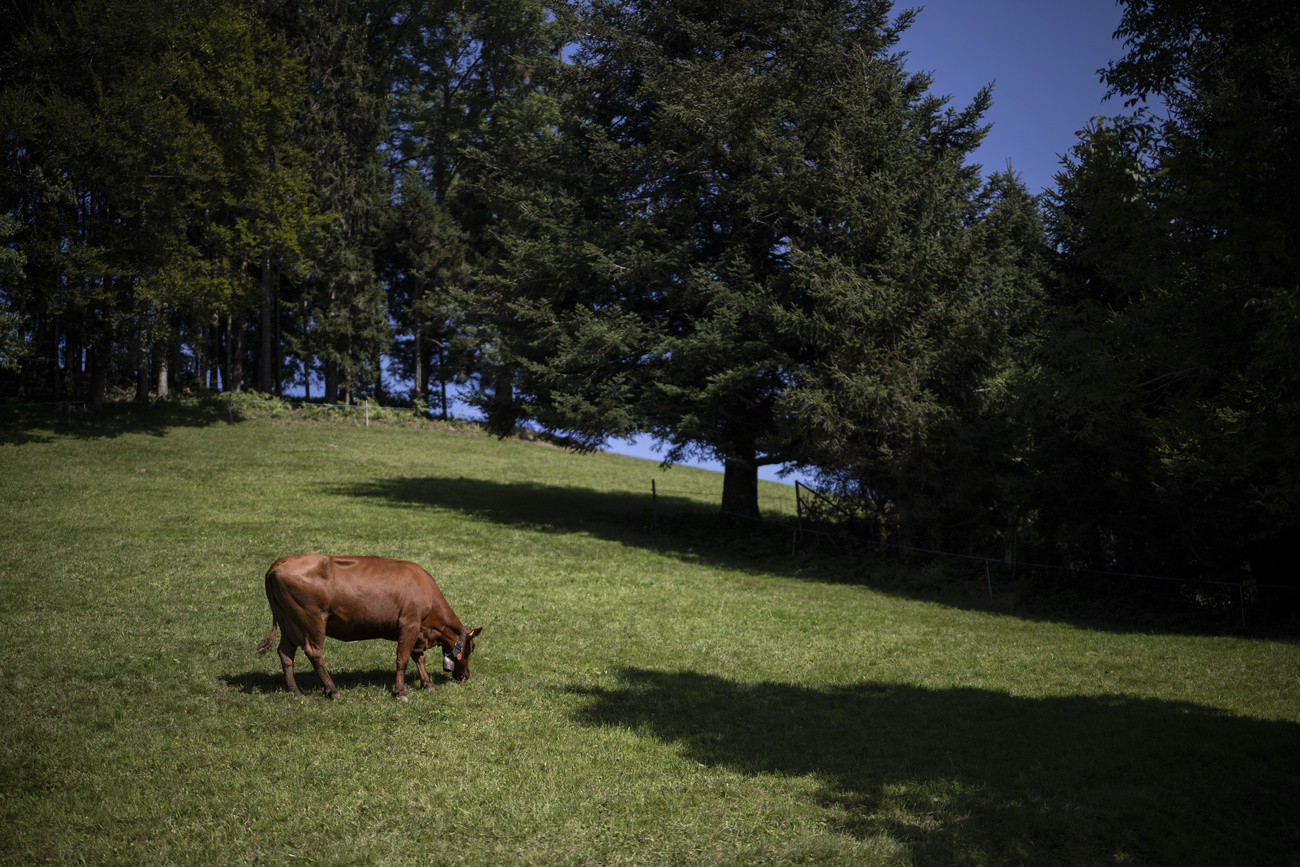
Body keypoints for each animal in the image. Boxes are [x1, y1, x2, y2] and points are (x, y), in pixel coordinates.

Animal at [255, 554, 482, 700]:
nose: (466, 676)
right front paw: (401, 693)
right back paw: (332, 690)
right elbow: (402, 660)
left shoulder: (418, 630)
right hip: (312, 620)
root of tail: (282, 561)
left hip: (289, 622)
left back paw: (295, 691)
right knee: (314, 652)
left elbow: (419, 658)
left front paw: (428, 684)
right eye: (471, 649)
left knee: (286, 653)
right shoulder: (409, 624)